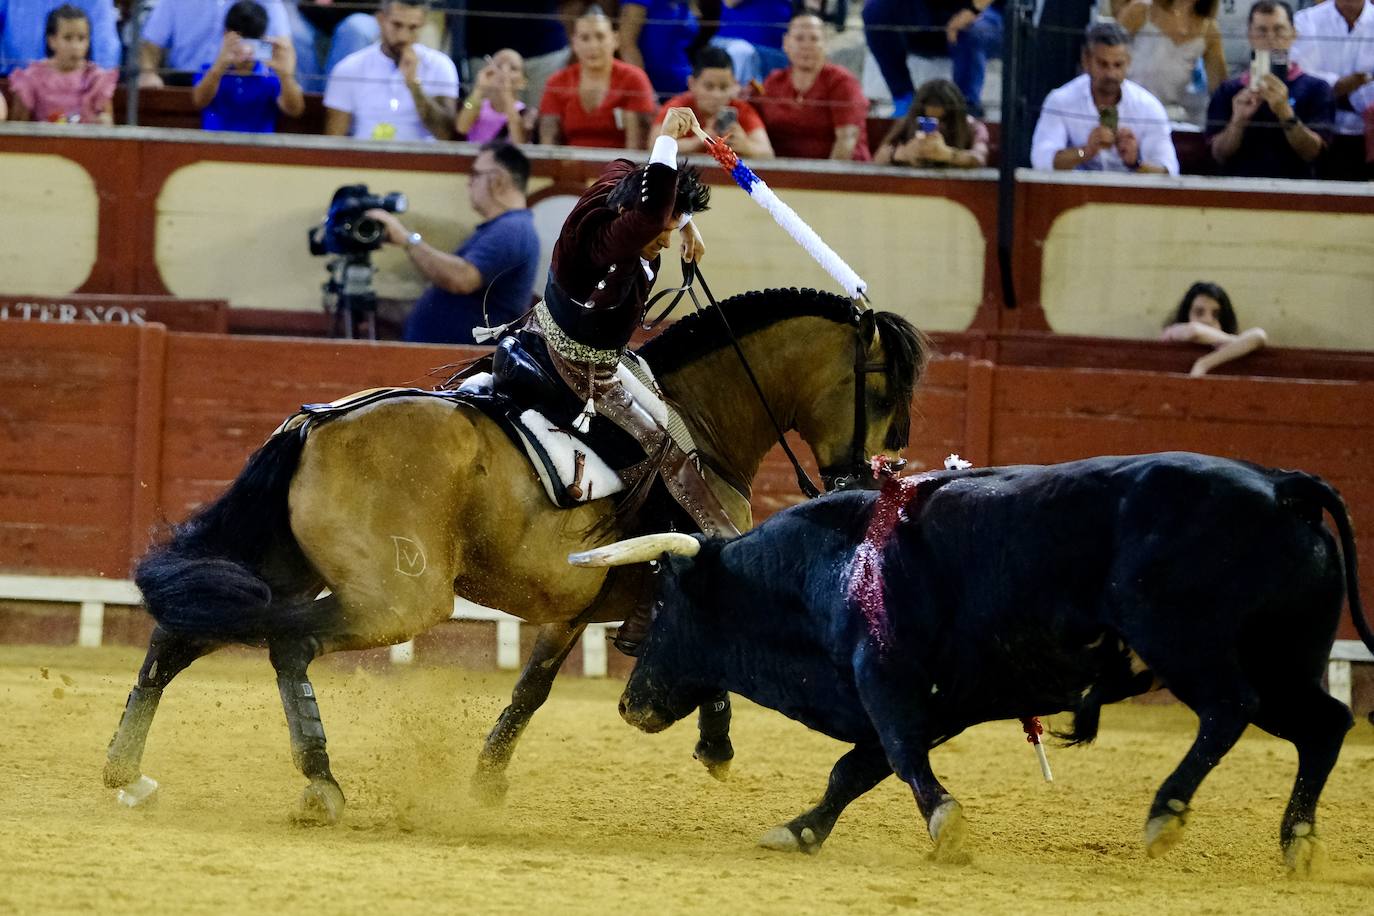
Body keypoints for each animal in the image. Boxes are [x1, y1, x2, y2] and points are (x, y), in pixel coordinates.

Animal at [101, 287, 928, 823]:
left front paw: (488, 779)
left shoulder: (572, 605)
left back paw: (127, 773)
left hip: (284, 570)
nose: (864, 477)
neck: (700, 421)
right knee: (287, 645)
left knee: (180, 633)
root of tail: (316, 424)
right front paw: (714, 742)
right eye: (882, 389)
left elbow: (532, 689)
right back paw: (320, 784)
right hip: (400, 599)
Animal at [571, 450, 1374, 873]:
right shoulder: (930, 703)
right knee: (1326, 725)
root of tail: (1281, 486)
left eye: (664, 604)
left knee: (1229, 709)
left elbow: (895, 760)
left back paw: (1166, 813)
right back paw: (1297, 842)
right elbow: (852, 772)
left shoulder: (886, 683)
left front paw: (946, 825)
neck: (828, 567)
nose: (629, 703)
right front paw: (799, 831)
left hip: (1191, 648)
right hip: (1285, 664)